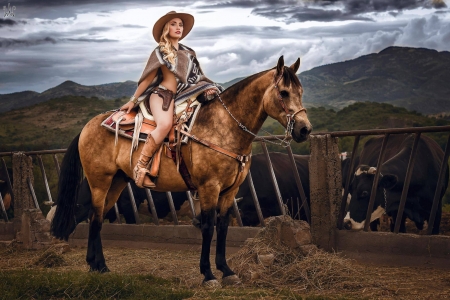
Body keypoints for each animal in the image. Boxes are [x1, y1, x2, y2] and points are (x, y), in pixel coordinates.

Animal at [51, 55, 312, 288]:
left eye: (301, 92)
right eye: (284, 93)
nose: (304, 129)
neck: (223, 128)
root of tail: (89, 126)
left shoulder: (230, 191)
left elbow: (223, 227)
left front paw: (227, 271)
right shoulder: (209, 187)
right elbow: (208, 227)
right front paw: (208, 275)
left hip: (117, 182)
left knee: (97, 217)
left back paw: (98, 265)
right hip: (100, 181)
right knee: (95, 217)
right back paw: (98, 265)